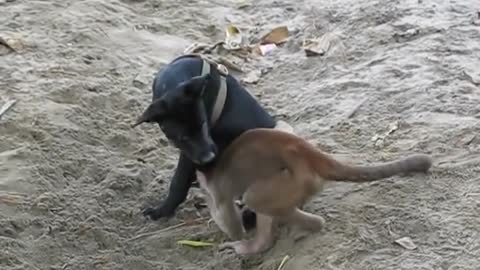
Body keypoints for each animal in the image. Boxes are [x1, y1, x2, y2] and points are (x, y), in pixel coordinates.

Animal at [133, 56, 278, 229]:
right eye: (183, 137)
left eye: (203, 124)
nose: (209, 157)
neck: (173, 80)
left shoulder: (191, 155)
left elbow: (178, 182)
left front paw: (161, 211)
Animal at [195, 129, 432, 255]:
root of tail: (308, 152)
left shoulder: (218, 190)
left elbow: (227, 215)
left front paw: (235, 233)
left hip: (296, 178)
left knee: (254, 197)